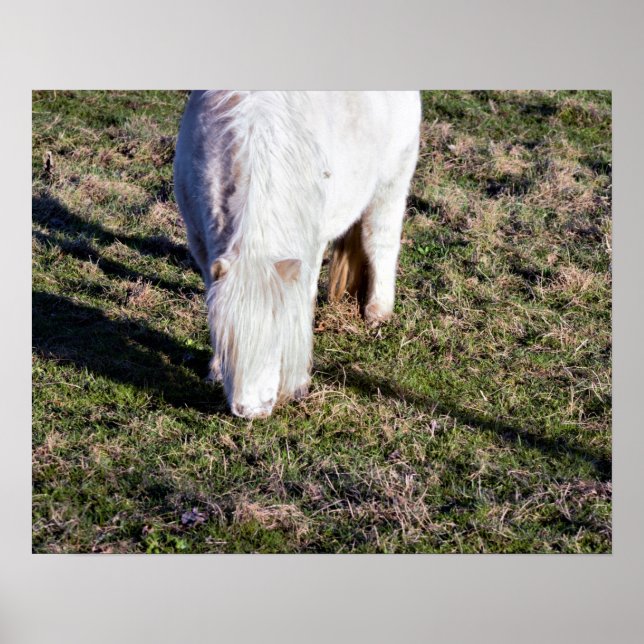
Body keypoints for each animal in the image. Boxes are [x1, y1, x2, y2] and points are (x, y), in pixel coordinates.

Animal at [174, 91, 420, 419]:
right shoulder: (200, 244)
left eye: (278, 339)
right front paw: (215, 369)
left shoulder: (310, 250)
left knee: (380, 240)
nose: (250, 411)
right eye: (229, 339)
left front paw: (299, 383)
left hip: (392, 181)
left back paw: (377, 311)